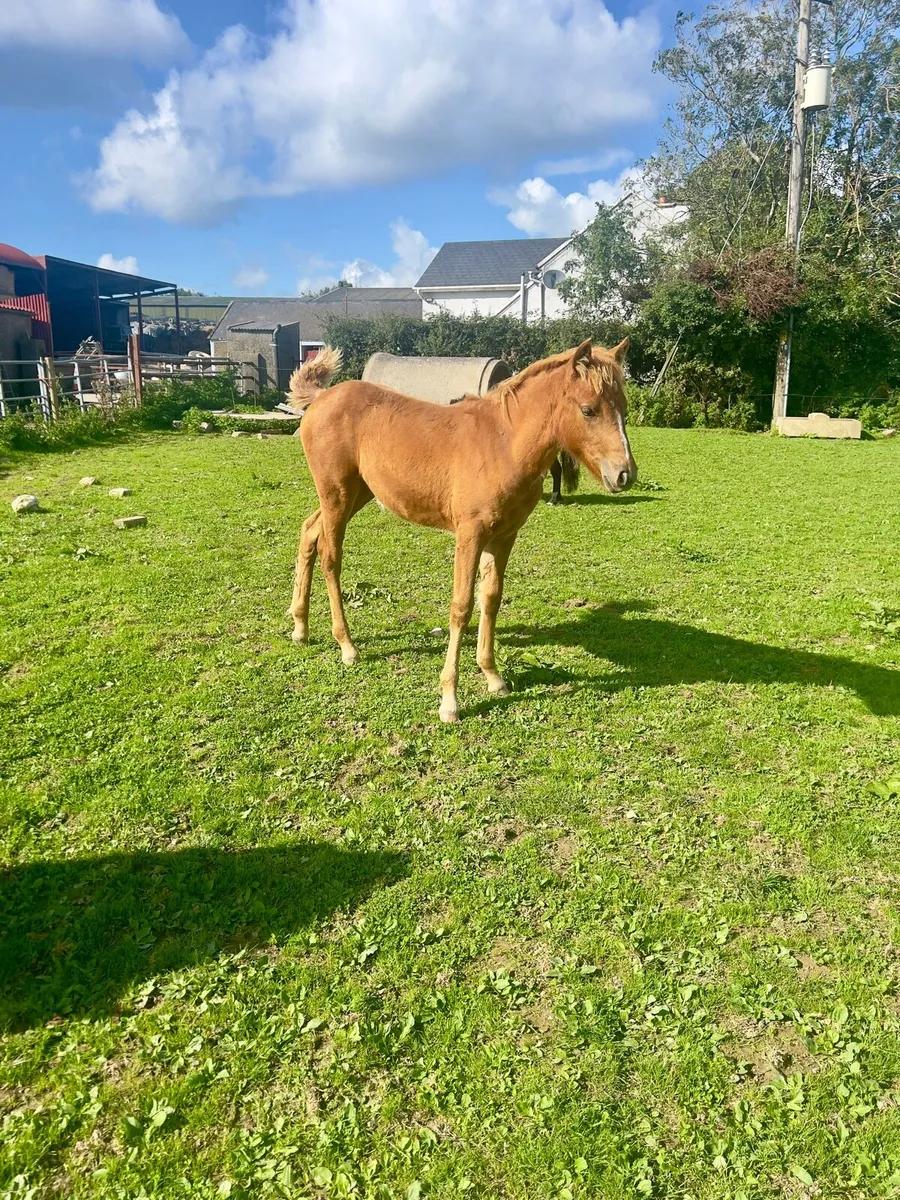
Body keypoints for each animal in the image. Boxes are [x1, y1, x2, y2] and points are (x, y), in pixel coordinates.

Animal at [286, 338, 637, 722]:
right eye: (588, 410)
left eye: (624, 407)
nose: (624, 474)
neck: (502, 445)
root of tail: (321, 398)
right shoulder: (470, 535)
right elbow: (462, 606)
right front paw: (449, 701)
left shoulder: (504, 536)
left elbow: (491, 599)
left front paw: (493, 676)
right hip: (337, 494)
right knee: (331, 558)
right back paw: (347, 645)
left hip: (358, 493)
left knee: (309, 531)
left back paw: (300, 628)